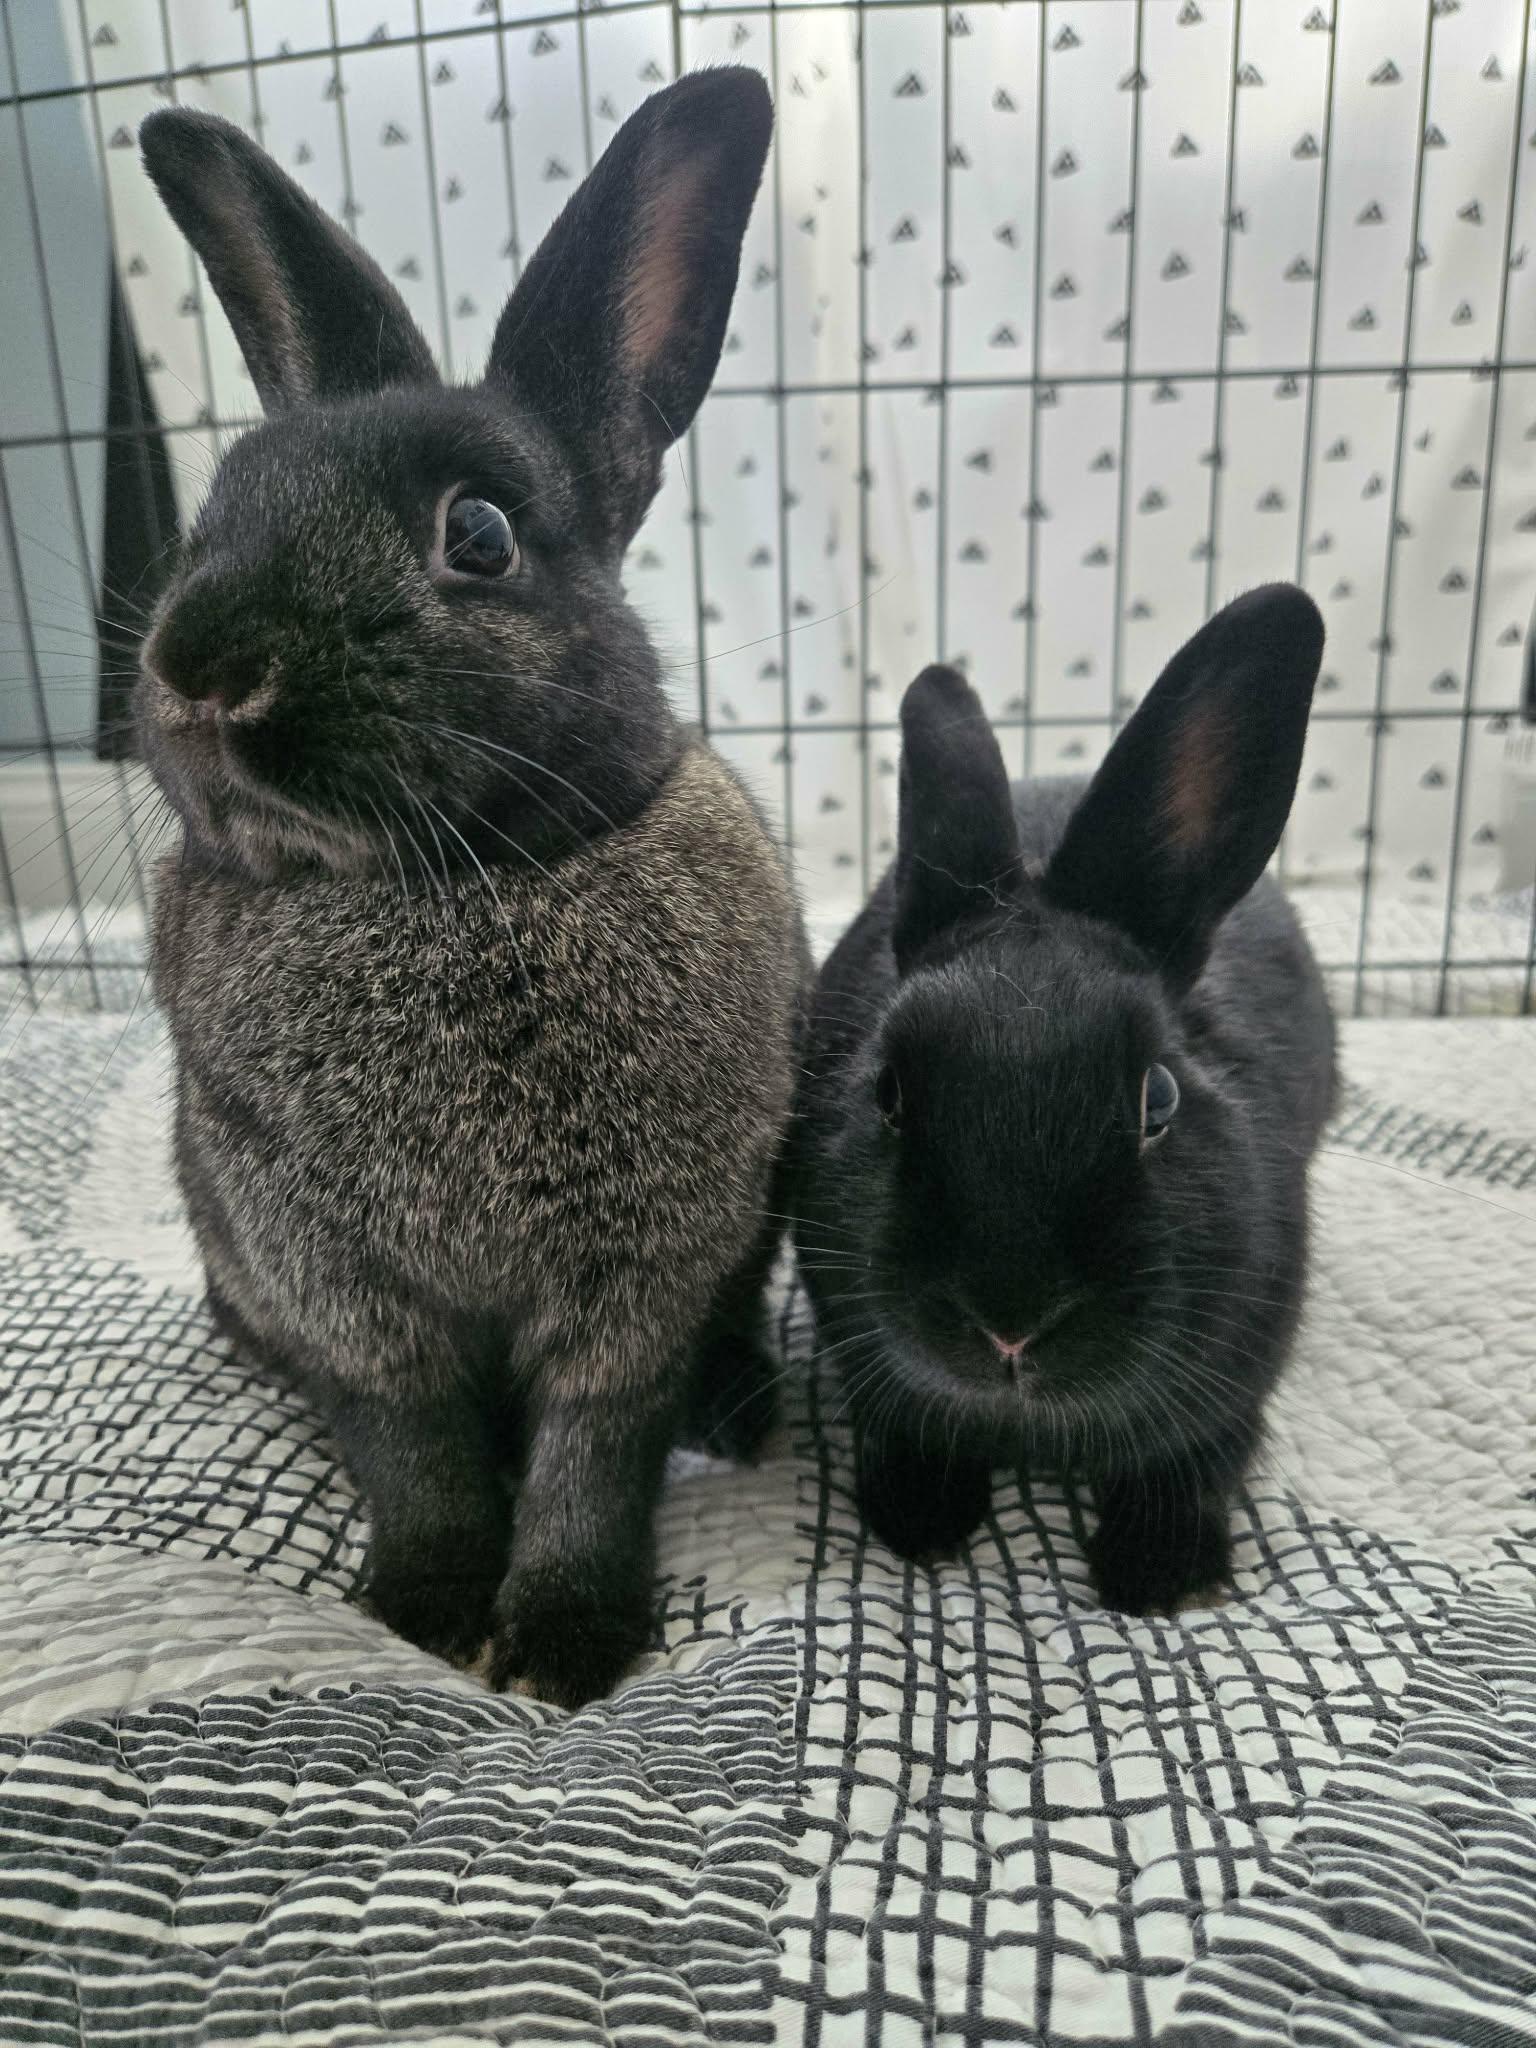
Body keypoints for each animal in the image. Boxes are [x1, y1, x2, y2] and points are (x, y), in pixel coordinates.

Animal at [133, 72, 810, 1710]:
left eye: (482, 534)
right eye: (208, 517)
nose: (200, 667)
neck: (445, 883)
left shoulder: (636, 1287)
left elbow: (592, 1457)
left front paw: (561, 1646)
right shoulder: (345, 1292)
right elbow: (416, 1447)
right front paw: (430, 1616)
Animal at [789, 586, 1338, 1617]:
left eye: (1158, 1098)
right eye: (887, 1091)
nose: (1011, 1325)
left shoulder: (1235, 1389)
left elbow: (1197, 1461)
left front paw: (1156, 1575)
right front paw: (921, 1520)